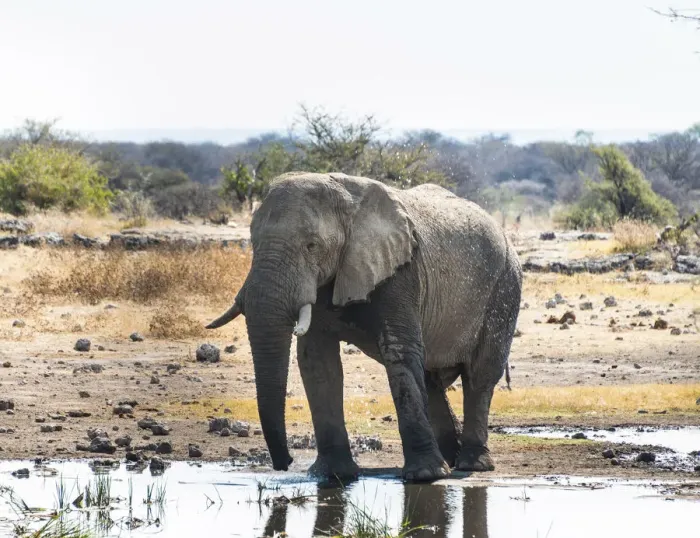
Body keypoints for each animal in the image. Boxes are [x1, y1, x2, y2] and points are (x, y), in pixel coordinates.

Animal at [206, 172, 522, 482]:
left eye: (312, 246)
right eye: (253, 243)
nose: (285, 463)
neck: (345, 202)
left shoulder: (401, 273)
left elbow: (399, 352)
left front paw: (423, 476)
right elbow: (318, 363)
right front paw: (333, 475)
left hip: (505, 287)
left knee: (479, 377)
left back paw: (471, 464)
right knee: (431, 378)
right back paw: (450, 459)